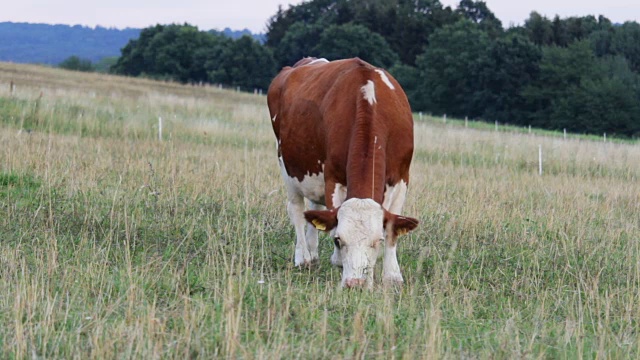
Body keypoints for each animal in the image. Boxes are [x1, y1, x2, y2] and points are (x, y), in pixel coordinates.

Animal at [266, 57, 420, 288]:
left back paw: (313, 254)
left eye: (378, 241)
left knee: (313, 209)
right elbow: (331, 220)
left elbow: (393, 228)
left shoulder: (402, 177)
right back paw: (303, 257)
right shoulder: (333, 177)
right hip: (286, 164)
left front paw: (392, 276)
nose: (355, 284)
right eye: (339, 240)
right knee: (297, 209)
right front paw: (338, 260)